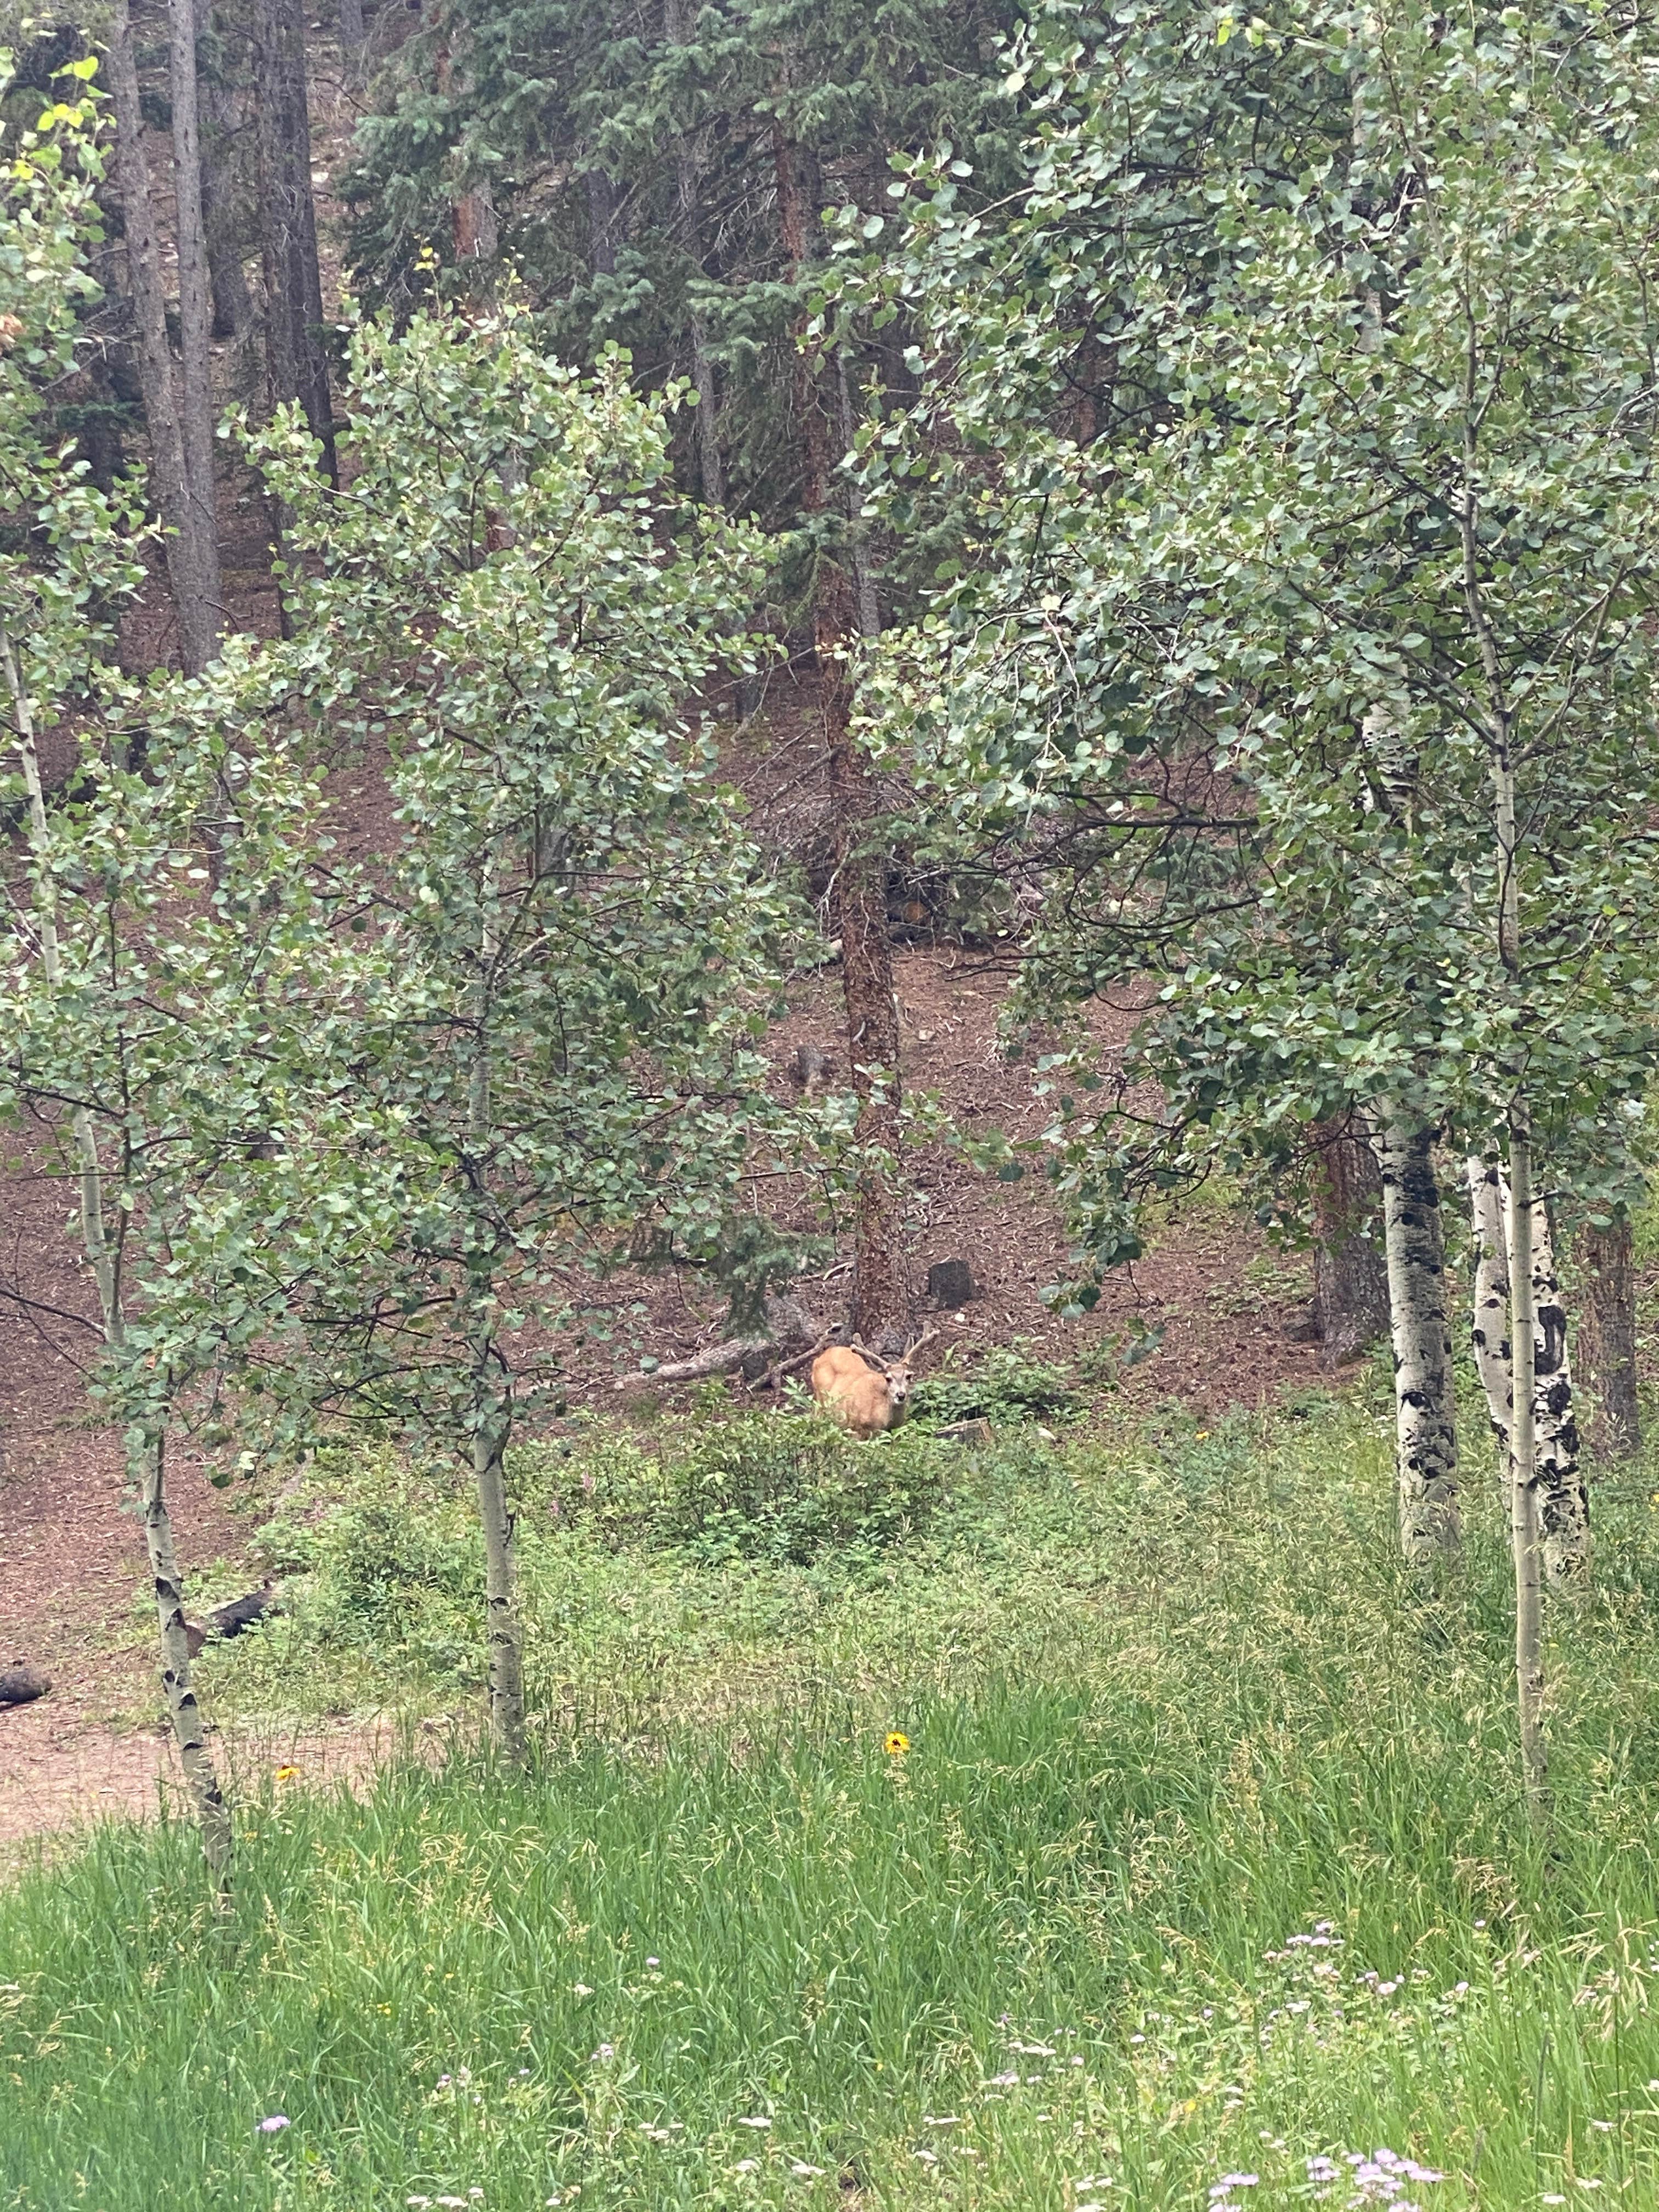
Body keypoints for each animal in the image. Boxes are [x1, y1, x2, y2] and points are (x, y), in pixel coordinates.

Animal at [811, 1331, 938, 1441]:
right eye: (888, 1378)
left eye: (908, 1376)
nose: (901, 1395)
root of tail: (820, 1357)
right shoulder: (856, 1428)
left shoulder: (897, 1430)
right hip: (820, 1403)